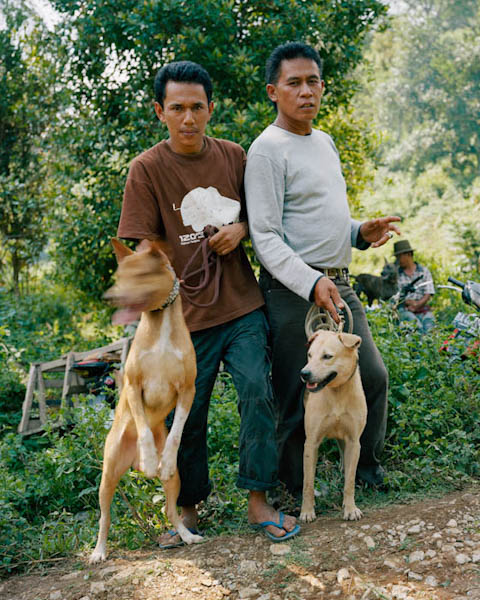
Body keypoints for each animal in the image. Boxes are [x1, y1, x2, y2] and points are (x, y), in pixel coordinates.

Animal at [89, 239, 201, 564]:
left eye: (139, 275)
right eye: (118, 276)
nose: (109, 297)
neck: (160, 324)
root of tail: (132, 464)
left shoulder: (187, 390)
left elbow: (176, 431)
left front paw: (163, 459)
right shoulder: (132, 387)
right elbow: (142, 427)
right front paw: (151, 456)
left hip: (175, 481)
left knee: (171, 510)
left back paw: (187, 535)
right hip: (108, 476)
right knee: (105, 517)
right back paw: (99, 551)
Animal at [300, 330, 368, 524]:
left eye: (327, 356)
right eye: (310, 355)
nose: (304, 373)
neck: (337, 393)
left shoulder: (354, 442)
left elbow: (350, 481)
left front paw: (350, 509)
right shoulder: (311, 443)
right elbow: (308, 483)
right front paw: (307, 511)